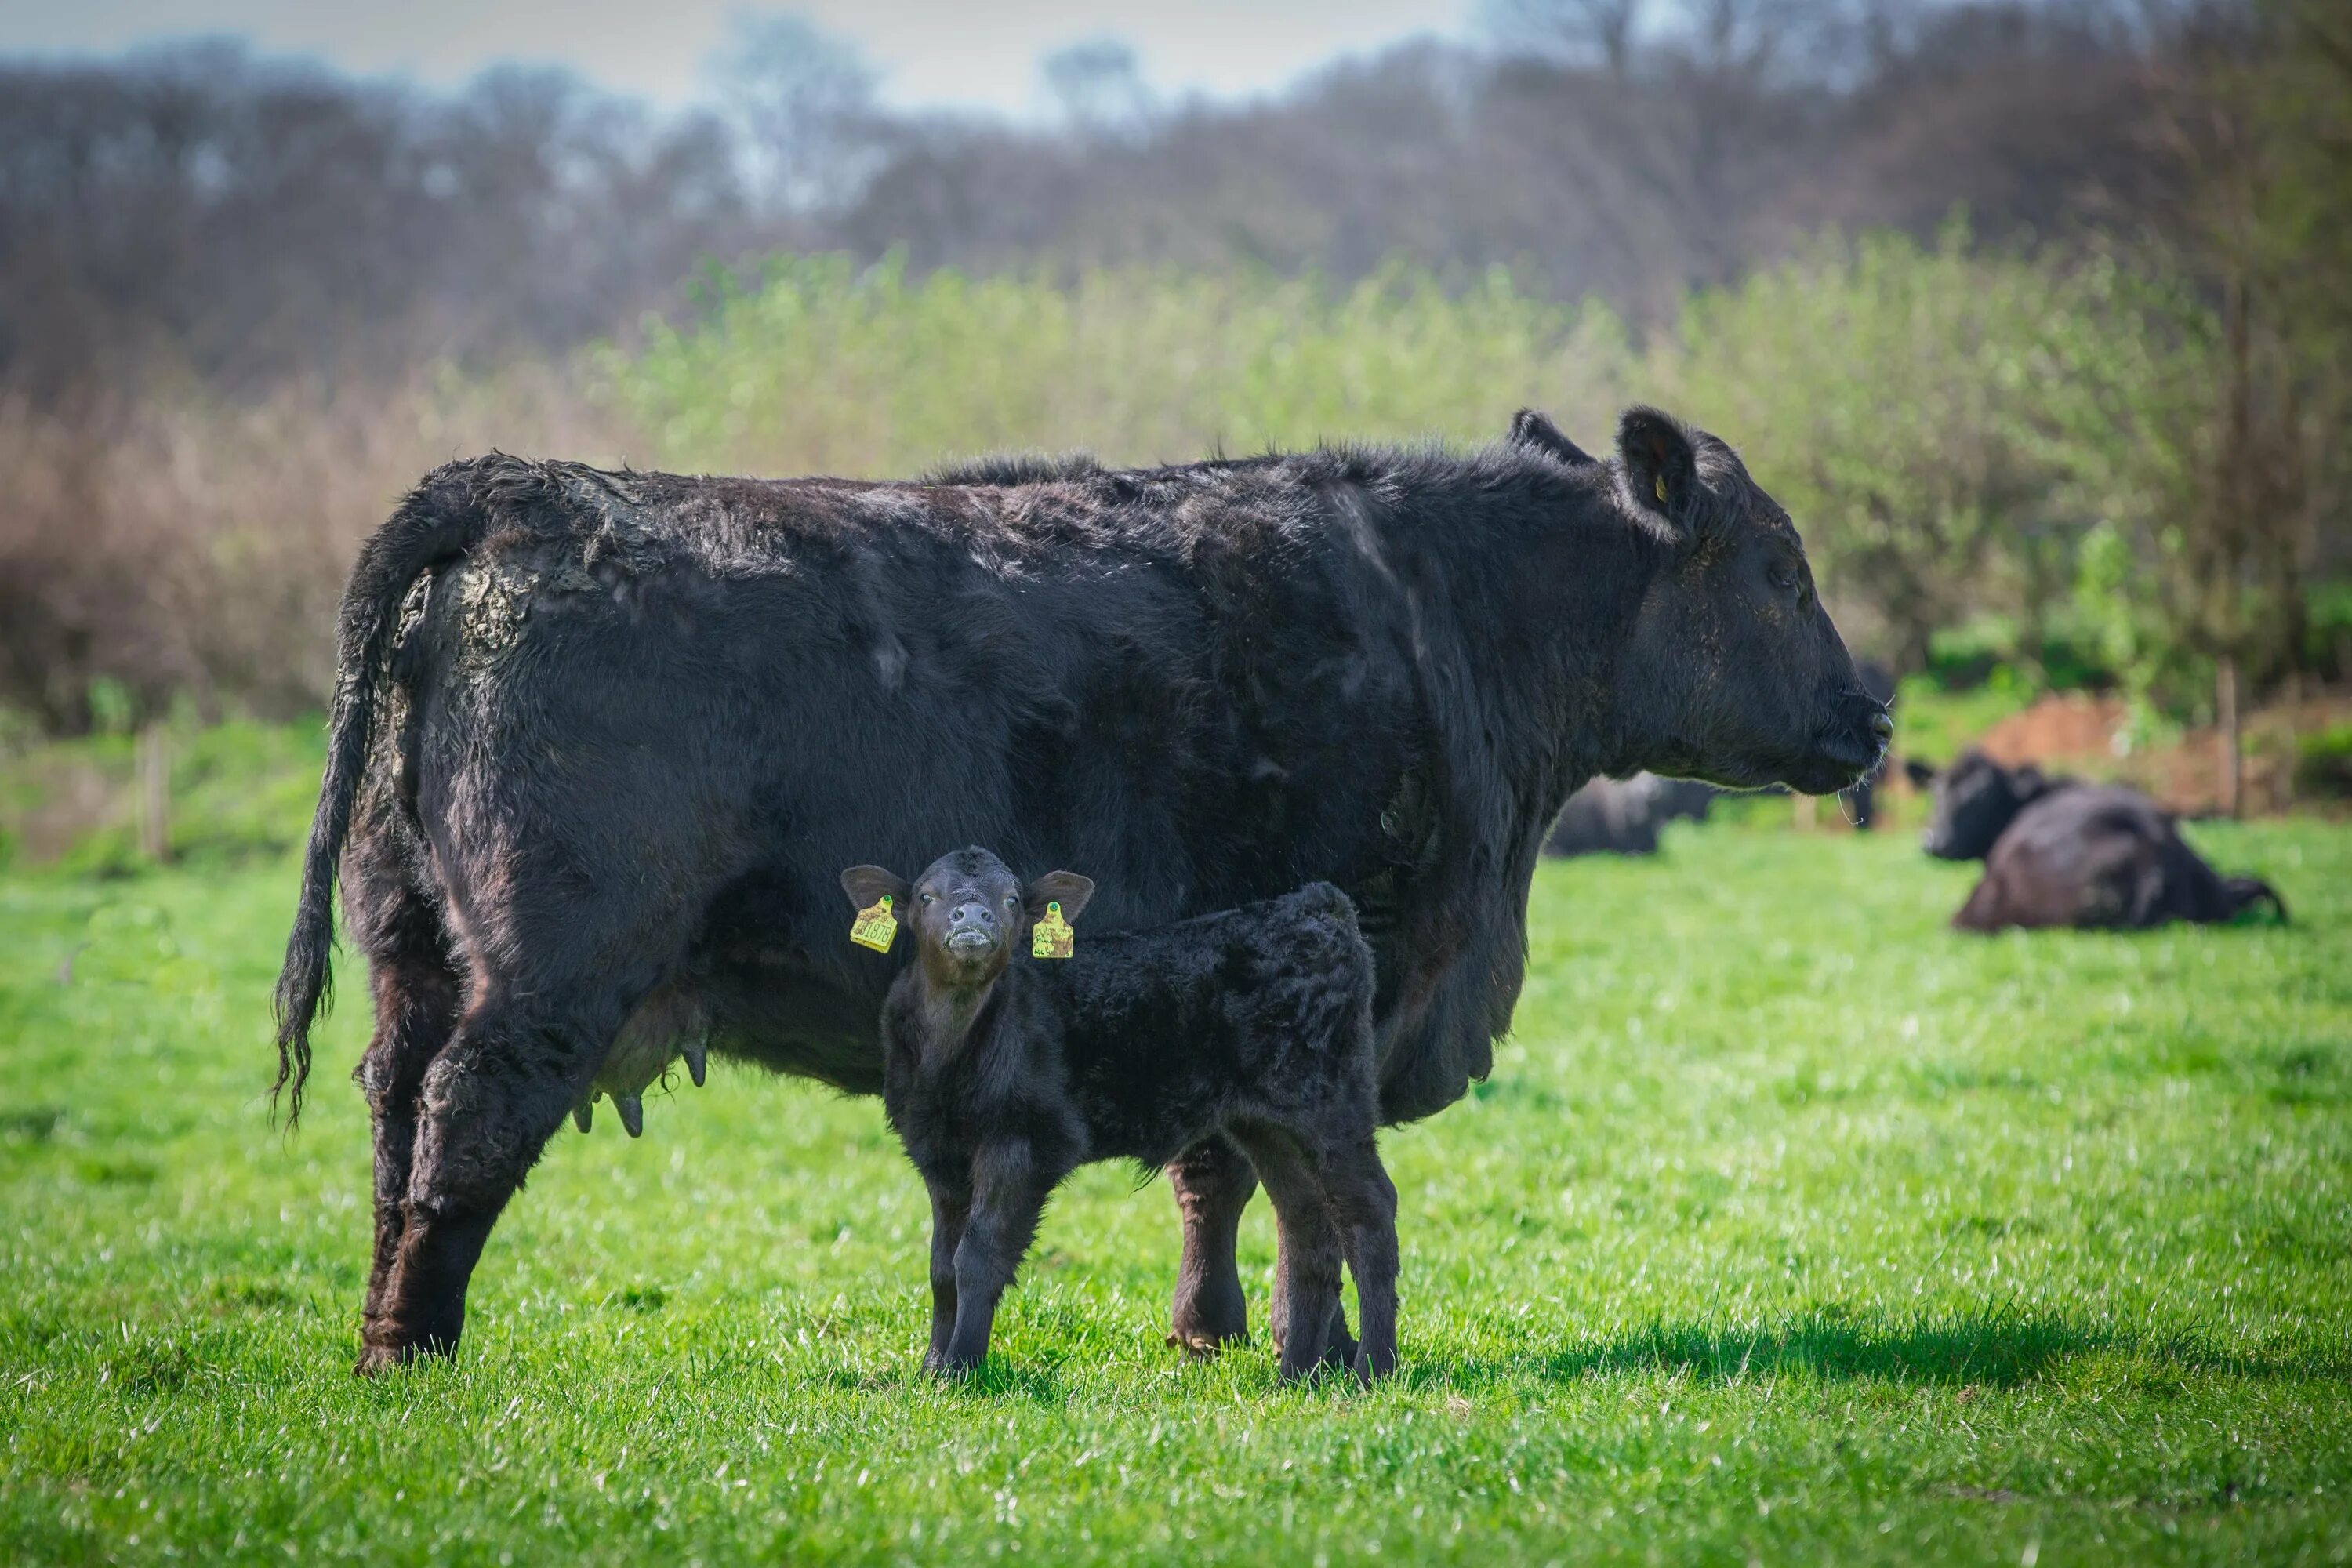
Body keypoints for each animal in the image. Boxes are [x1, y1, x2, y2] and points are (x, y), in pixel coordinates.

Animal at [851, 851, 1392, 1382]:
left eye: (1010, 900)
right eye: (926, 896)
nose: (972, 918)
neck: (953, 1046)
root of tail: (1315, 905)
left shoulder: (1025, 1140)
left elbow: (978, 1258)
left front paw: (961, 1368)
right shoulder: (935, 1152)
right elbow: (942, 1266)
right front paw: (931, 1369)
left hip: (1333, 1102)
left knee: (1368, 1212)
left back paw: (1374, 1368)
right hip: (1270, 1123)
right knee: (1307, 1226)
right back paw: (1296, 1374)